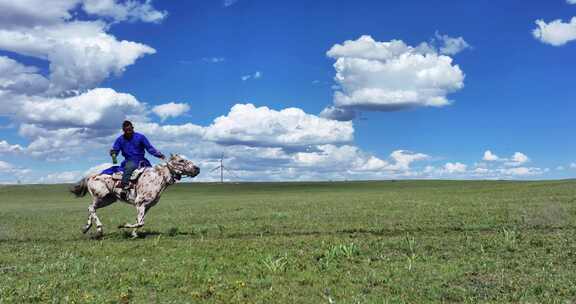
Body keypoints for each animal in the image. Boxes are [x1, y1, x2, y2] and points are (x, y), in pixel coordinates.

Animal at [70, 154, 200, 238]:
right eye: (181, 160)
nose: (197, 169)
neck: (158, 178)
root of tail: (89, 177)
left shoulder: (147, 206)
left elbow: (139, 221)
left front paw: (133, 233)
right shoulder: (140, 203)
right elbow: (141, 222)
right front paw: (123, 225)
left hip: (108, 199)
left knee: (91, 208)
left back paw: (87, 228)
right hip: (100, 196)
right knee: (91, 208)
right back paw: (99, 228)